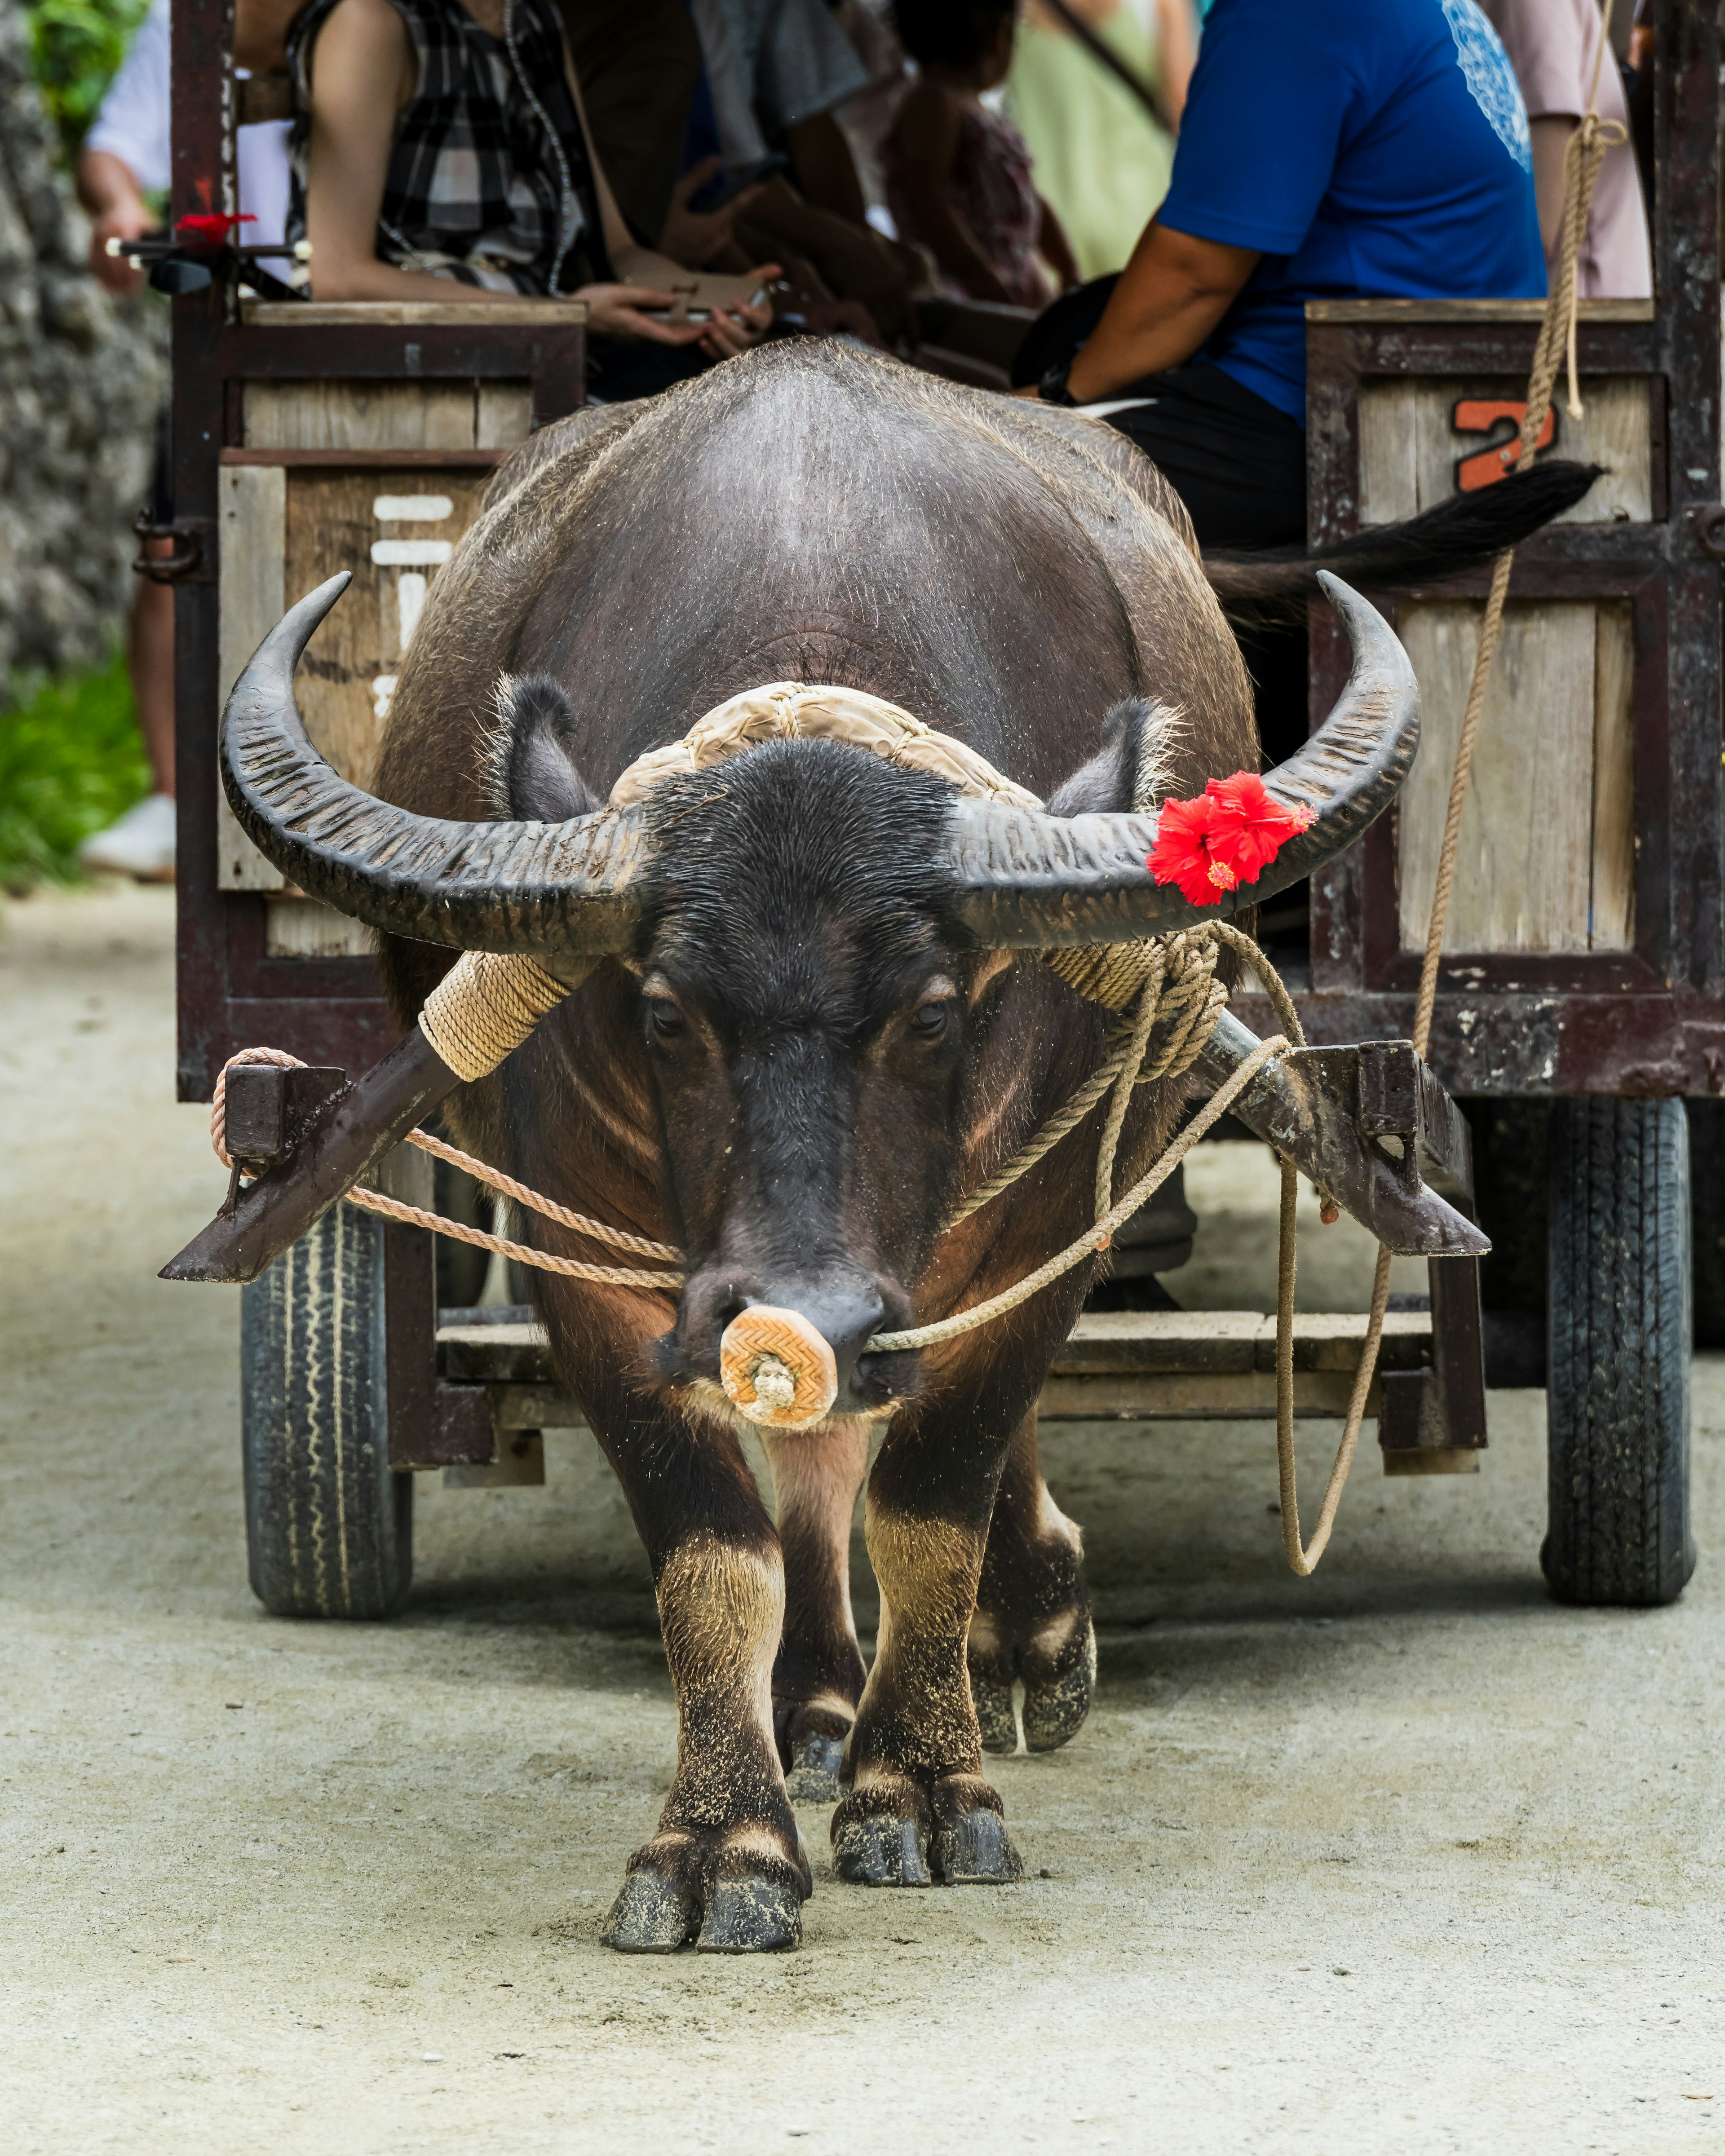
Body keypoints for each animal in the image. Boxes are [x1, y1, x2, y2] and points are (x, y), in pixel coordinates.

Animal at [219, 336, 1432, 1957]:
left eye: (931, 1012)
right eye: (665, 1013)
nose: (813, 1309)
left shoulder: (1054, 1209)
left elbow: (934, 1493)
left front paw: (922, 1786)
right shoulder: (595, 1263)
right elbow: (715, 1543)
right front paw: (725, 1838)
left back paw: (1020, 1634)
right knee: (818, 1449)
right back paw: (817, 1700)